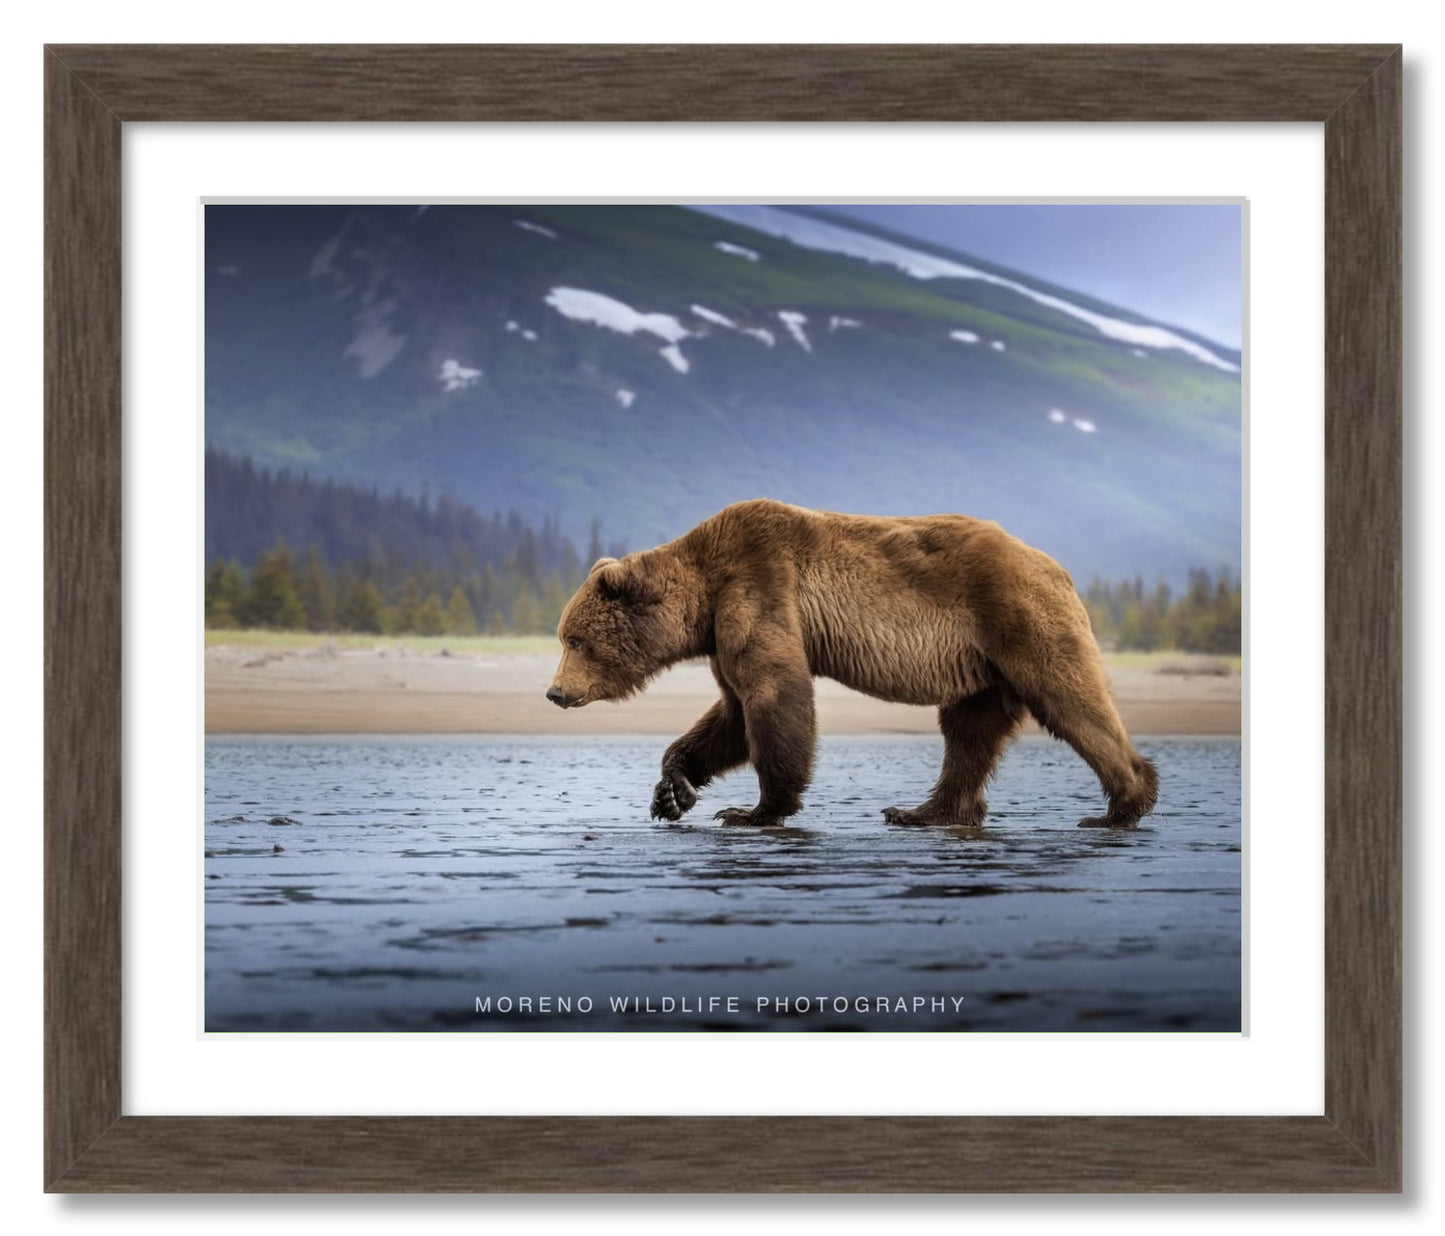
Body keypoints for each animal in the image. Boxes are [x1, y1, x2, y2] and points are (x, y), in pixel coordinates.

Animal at [547, 498, 1158, 830]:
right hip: (982, 666)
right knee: (968, 733)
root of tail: (1057, 567)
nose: (554, 693)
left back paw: (1122, 805)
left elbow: (773, 695)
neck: (703, 591)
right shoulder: (723, 630)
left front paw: (755, 809)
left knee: (1069, 700)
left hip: (1018, 619)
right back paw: (923, 811)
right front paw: (672, 792)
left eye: (574, 639)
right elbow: (732, 713)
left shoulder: (758, 585)